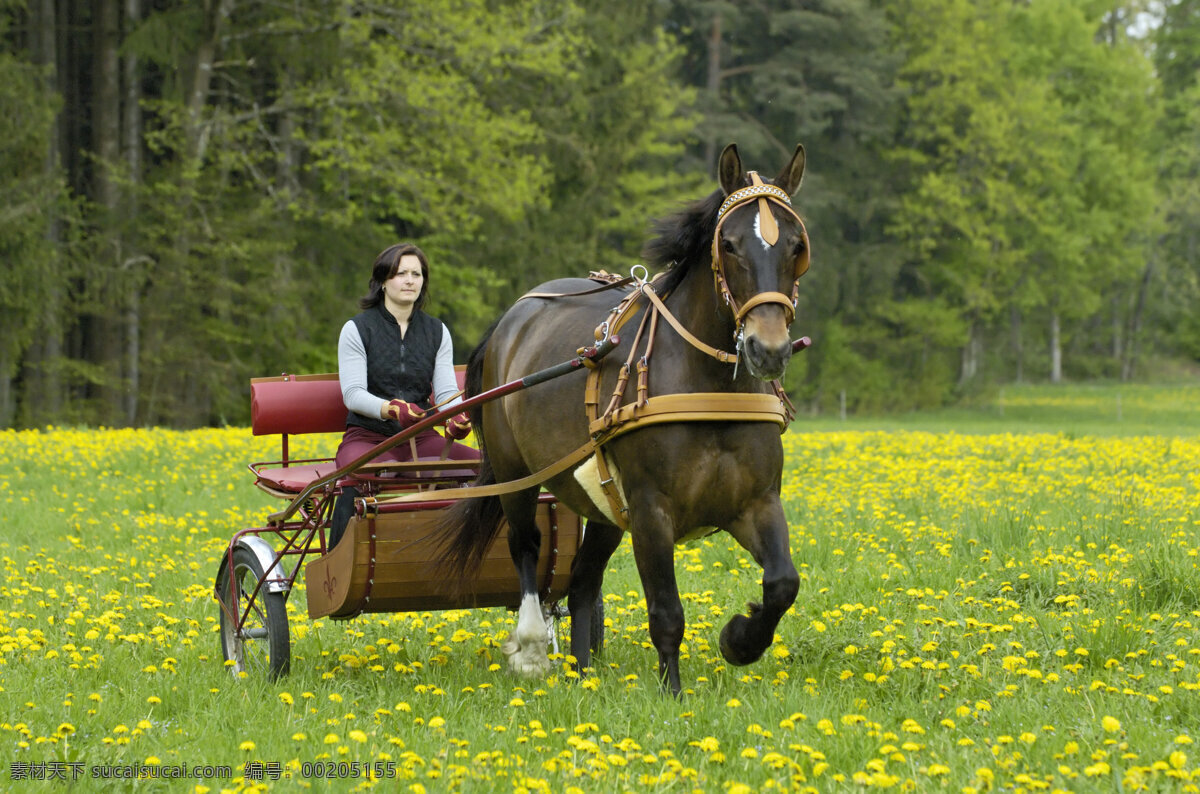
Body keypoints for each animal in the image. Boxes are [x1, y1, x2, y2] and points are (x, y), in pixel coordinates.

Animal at [436, 143, 811, 695]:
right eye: (730, 244)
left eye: (796, 246)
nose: (769, 350)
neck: (707, 388)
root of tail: (514, 315)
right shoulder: (652, 510)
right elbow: (667, 612)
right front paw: (672, 694)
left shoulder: (757, 502)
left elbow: (783, 582)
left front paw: (740, 640)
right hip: (516, 474)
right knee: (525, 546)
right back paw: (532, 649)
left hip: (602, 504)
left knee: (583, 582)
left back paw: (583, 671)